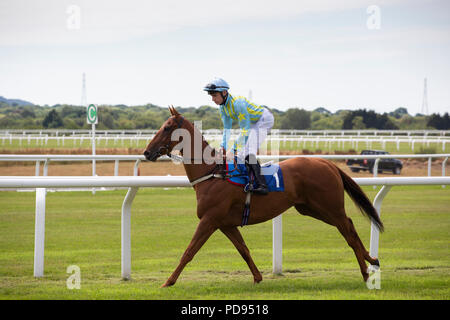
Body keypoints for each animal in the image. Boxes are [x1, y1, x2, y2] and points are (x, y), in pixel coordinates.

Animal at [144, 107, 384, 288]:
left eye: (167, 127)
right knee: (349, 226)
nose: (147, 152)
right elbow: (243, 250)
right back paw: (371, 260)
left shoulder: (209, 220)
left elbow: (189, 251)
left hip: (329, 207)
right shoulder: (225, 223)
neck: (213, 172)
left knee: (348, 231)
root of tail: (328, 163)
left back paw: (366, 272)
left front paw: (168, 282)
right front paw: (258, 277)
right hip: (311, 208)